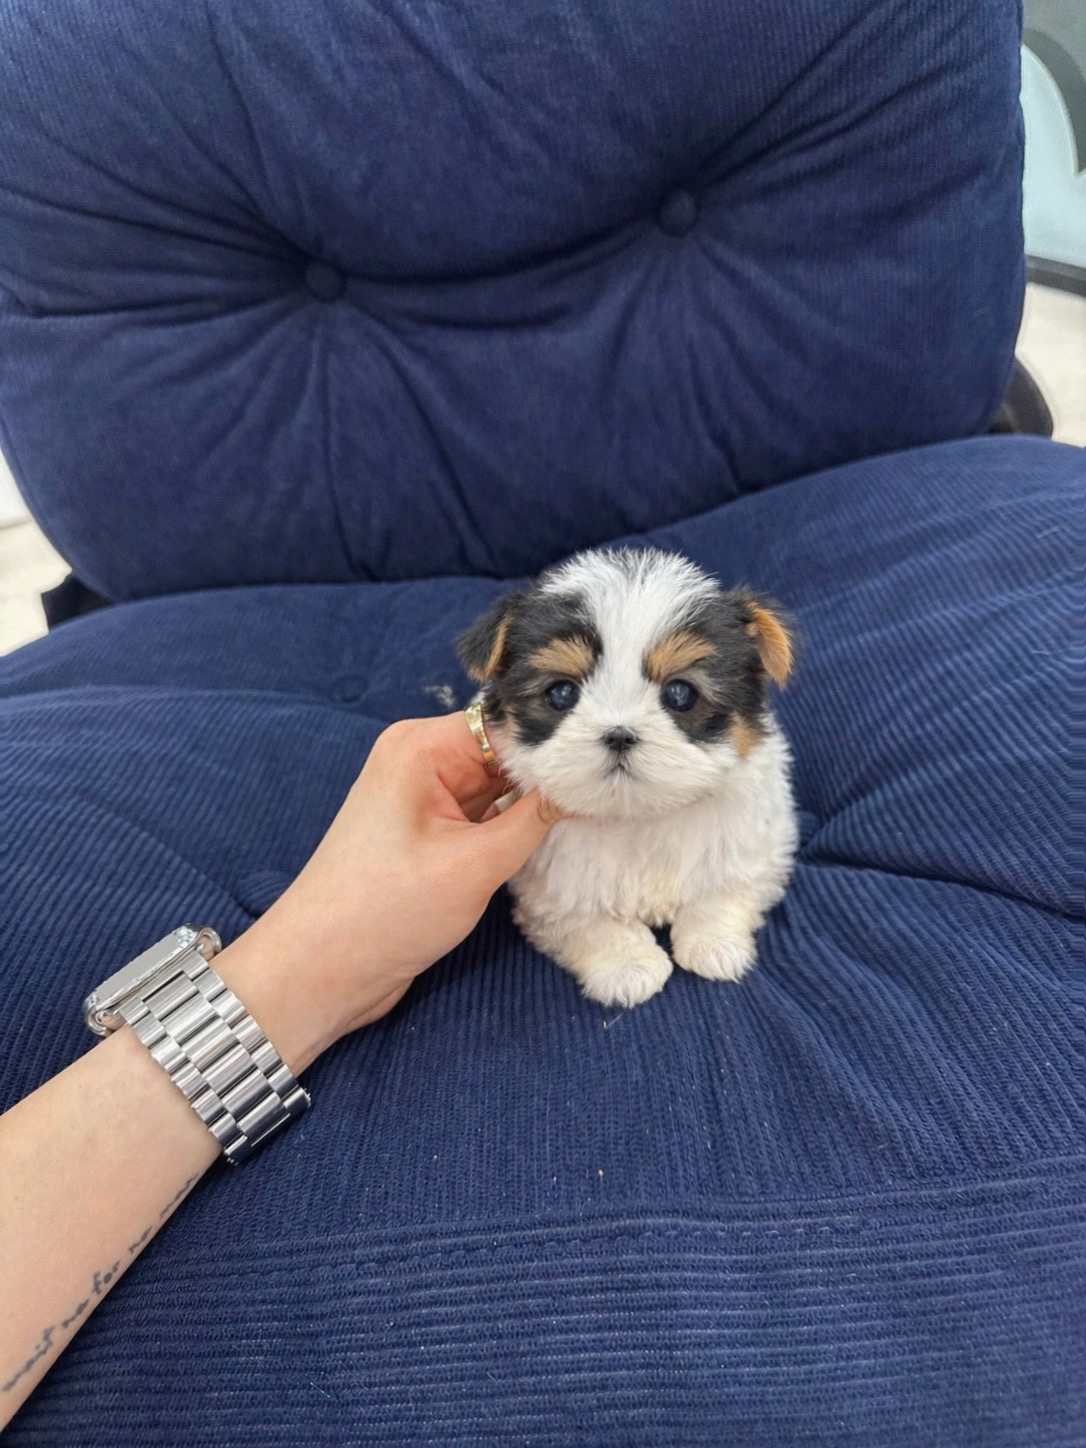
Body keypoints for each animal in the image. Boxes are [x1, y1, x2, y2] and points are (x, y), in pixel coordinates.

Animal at [458, 547, 798, 1007]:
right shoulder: (550, 887)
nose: (619, 734)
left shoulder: (760, 840)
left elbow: (725, 884)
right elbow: (586, 920)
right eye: (561, 693)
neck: (635, 814)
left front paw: (715, 944)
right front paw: (627, 965)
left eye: (680, 694)